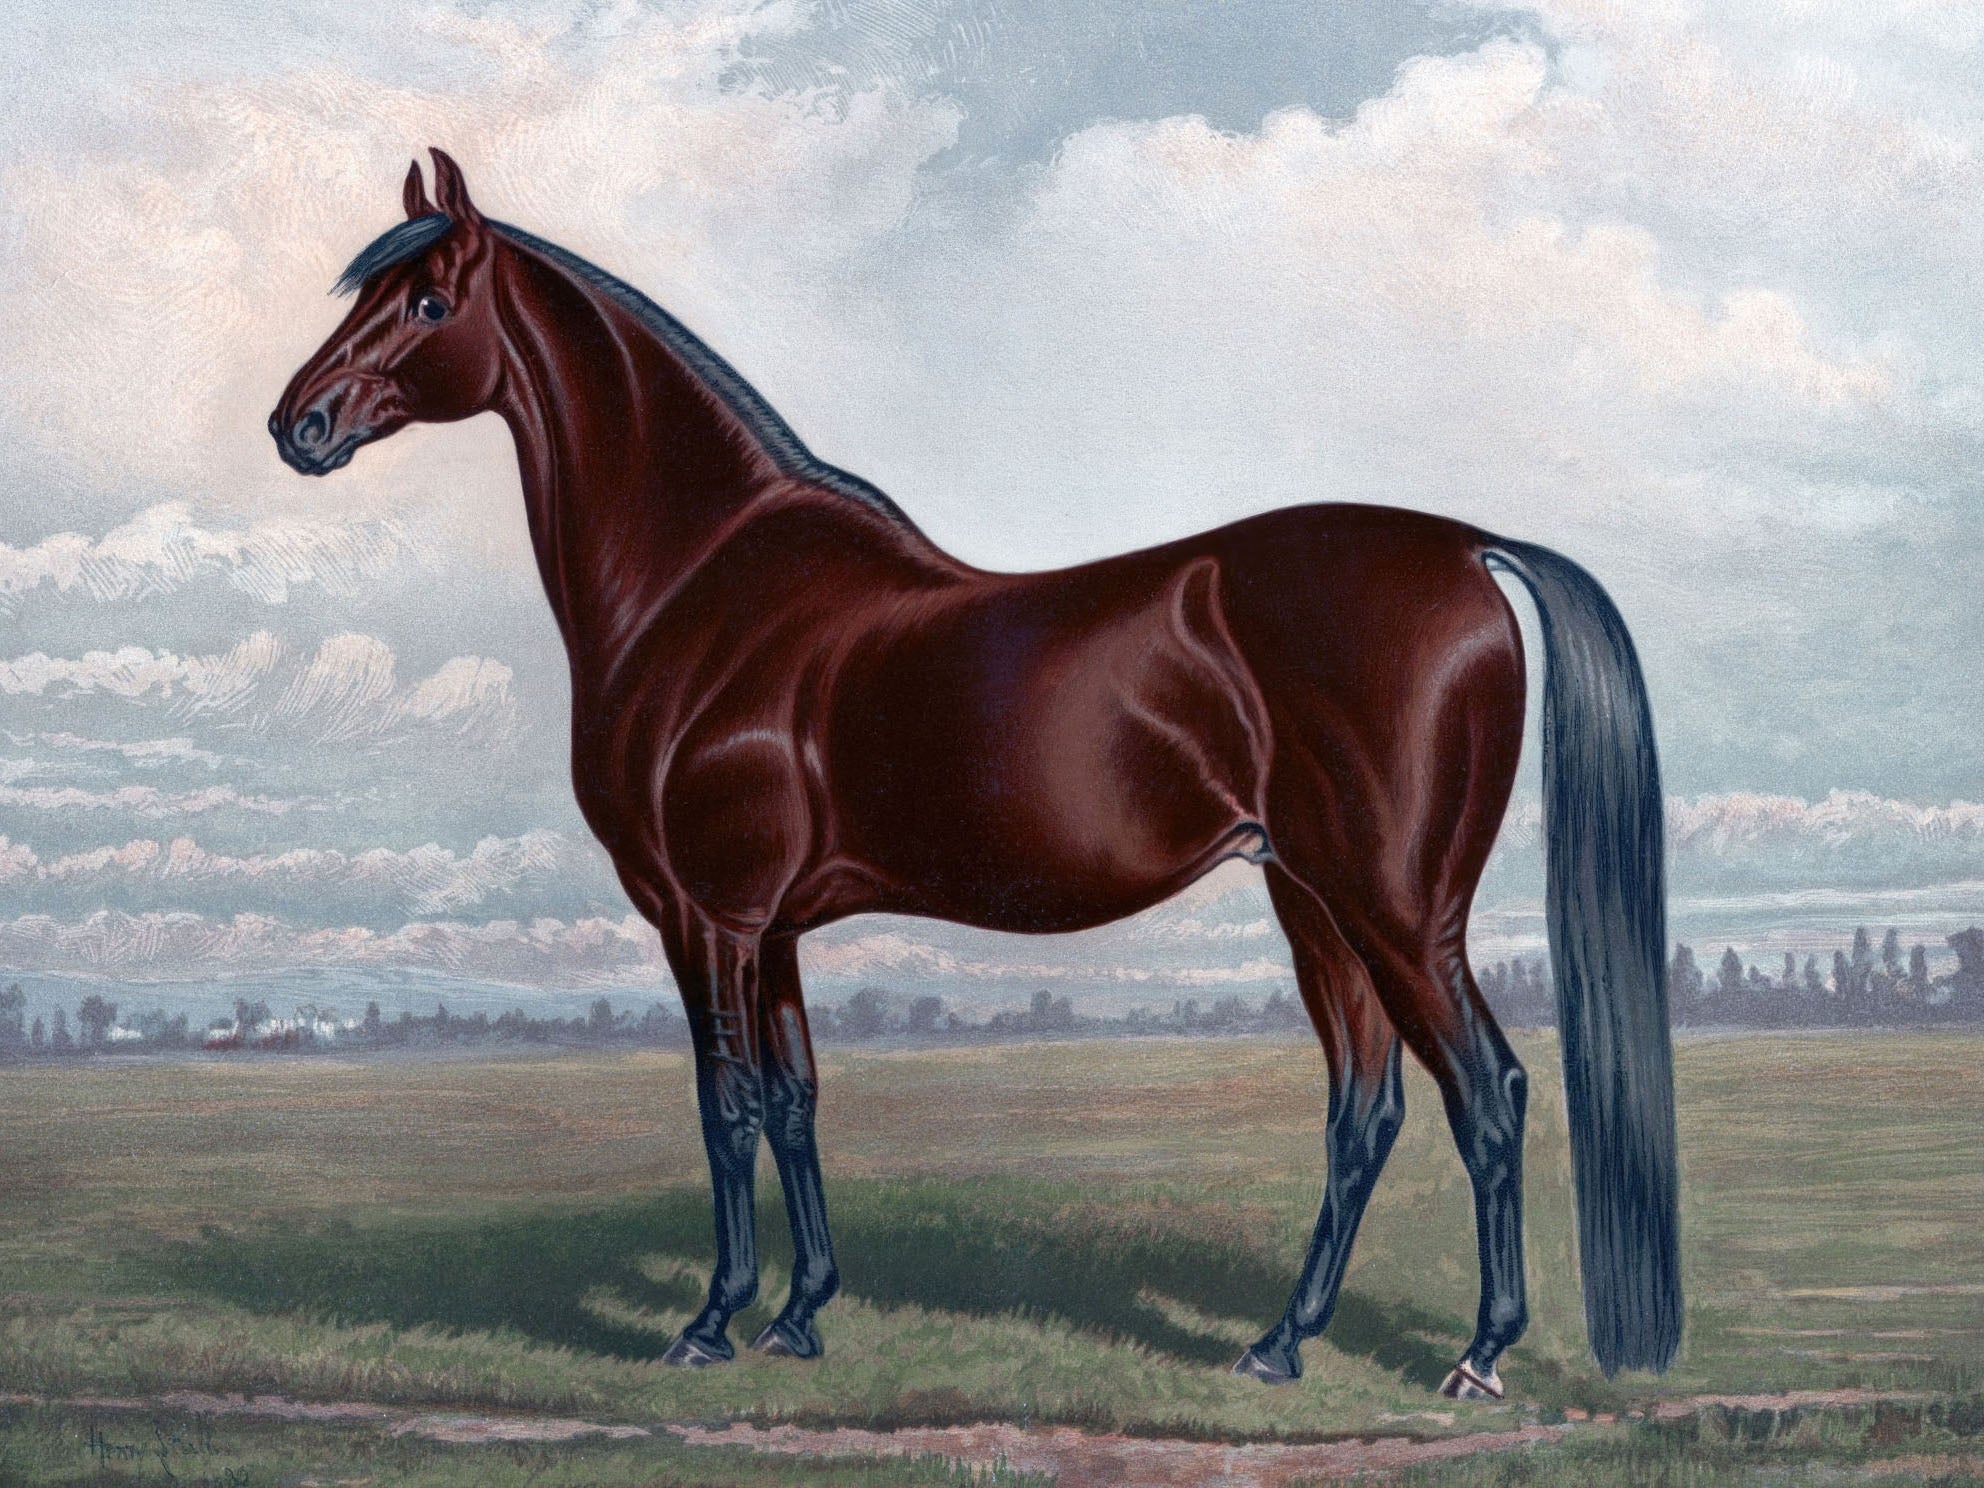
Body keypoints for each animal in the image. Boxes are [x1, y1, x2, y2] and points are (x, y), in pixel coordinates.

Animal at [271, 149, 1681, 1398]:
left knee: (1486, 1096)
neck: (705, 582)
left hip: (1395, 907)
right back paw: (1278, 1345)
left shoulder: (705, 916)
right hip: (1314, 902)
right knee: (1363, 1110)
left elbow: (726, 1104)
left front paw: (711, 1323)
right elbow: (795, 1100)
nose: (299, 425)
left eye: (430, 301)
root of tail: (1467, 548)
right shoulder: (774, 927)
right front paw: (800, 1315)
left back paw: (1477, 1356)